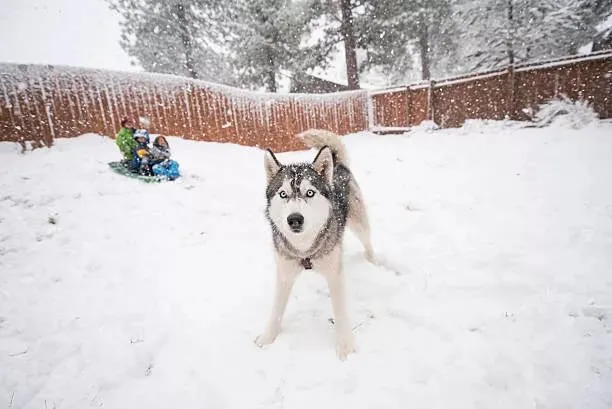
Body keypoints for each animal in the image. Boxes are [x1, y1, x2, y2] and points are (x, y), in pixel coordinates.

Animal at [253, 129, 372, 358]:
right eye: (283, 194)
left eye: (310, 192)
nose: (294, 219)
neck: (304, 249)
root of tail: (337, 163)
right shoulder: (284, 272)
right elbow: (276, 310)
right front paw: (268, 338)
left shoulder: (334, 275)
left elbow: (340, 312)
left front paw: (345, 347)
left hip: (358, 224)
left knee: (368, 242)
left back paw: (374, 262)